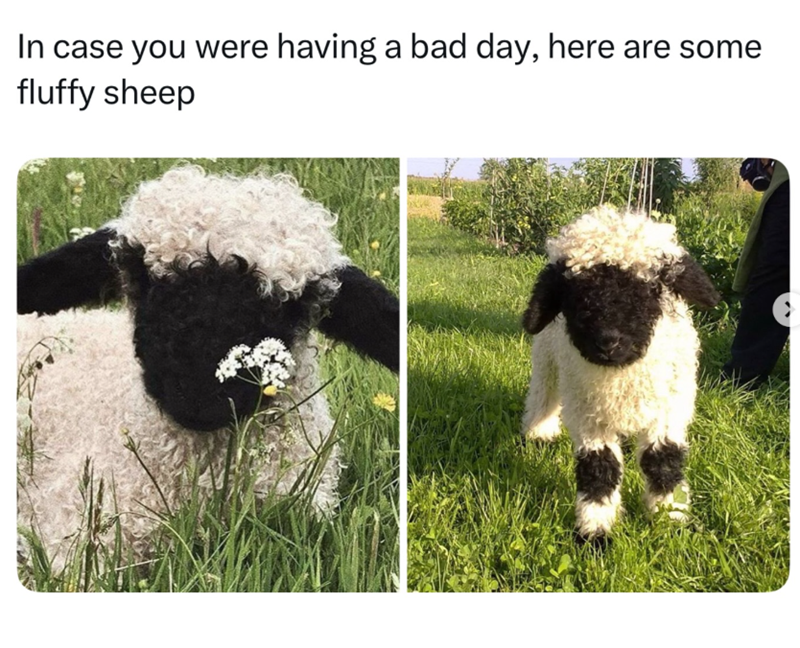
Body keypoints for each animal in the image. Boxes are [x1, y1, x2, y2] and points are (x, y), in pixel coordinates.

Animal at [520, 207, 720, 545]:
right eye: (575, 294)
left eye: (650, 289)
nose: (608, 341)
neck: (621, 376)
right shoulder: (589, 418)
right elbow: (599, 468)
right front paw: (594, 531)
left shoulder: (668, 411)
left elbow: (662, 461)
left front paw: (669, 520)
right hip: (547, 357)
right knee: (543, 393)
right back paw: (539, 433)